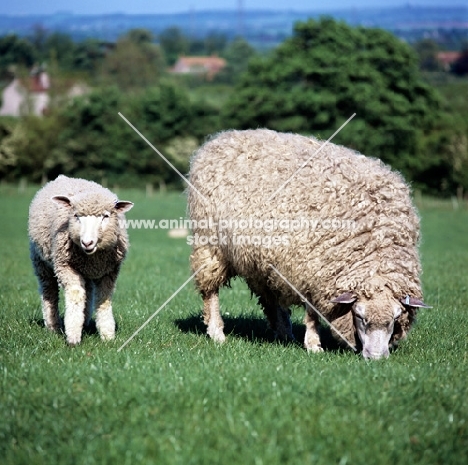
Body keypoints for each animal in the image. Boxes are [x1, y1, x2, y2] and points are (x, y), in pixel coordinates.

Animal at [28, 175, 133, 344]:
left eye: (105, 216)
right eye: (76, 216)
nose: (87, 242)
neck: (93, 257)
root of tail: (62, 177)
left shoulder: (109, 272)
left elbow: (104, 299)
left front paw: (107, 336)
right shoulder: (65, 266)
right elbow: (76, 294)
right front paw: (73, 337)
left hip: (85, 271)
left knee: (88, 291)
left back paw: (85, 322)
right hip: (40, 261)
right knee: (49, 291)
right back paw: (53, 326)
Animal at [188, 130, 430, 358]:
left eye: (395, 319)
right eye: (360, 316)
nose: (376, 357)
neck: (375, 245)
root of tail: (223, 137)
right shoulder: (312, 271)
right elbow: (312, 313)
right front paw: (314, 345)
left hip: (264, 259)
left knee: (270, 297)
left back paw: (284, 333)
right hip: (210, 244)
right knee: (210, 290)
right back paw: (217, 332)